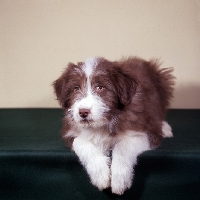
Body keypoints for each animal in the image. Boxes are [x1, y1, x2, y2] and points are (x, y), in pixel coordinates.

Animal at [53, 56, 175, 195]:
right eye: (75, 89)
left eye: (100, 87)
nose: (83, 112)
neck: (102, 124)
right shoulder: (70, 132)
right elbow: (80, 142)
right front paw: (100, 175)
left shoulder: (146, 130)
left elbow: (123, 146)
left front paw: (120, 178)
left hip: (162, 83)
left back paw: (165, 128)